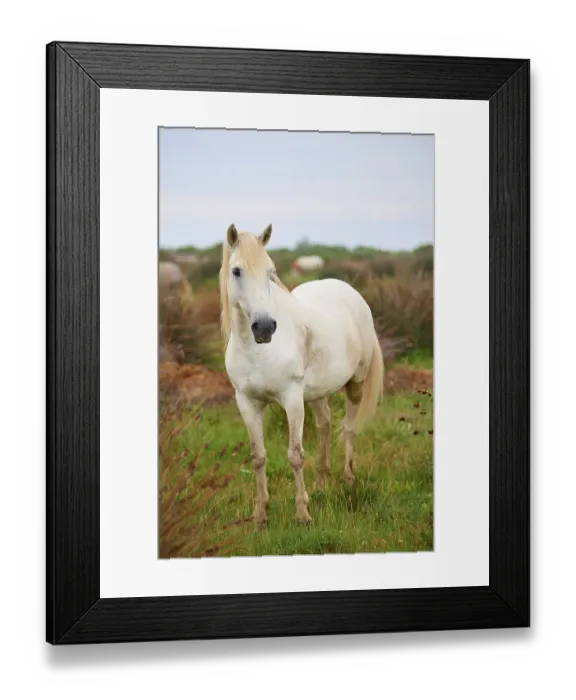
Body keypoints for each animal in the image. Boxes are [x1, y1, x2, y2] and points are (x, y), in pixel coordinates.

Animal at [219, 223, 384, 527]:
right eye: (236, 271)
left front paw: (303, 514)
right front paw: (260, 515)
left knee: (349, 427)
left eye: (270, 271)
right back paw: (320, 483)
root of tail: (349, 291)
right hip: (317, 392)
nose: (264, 327)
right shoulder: (247, 402)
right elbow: (258, 456)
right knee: (325, 425)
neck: (256, 349)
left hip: (355, 383)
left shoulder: (292, 399)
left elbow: (295, 456)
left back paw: (348, 479)